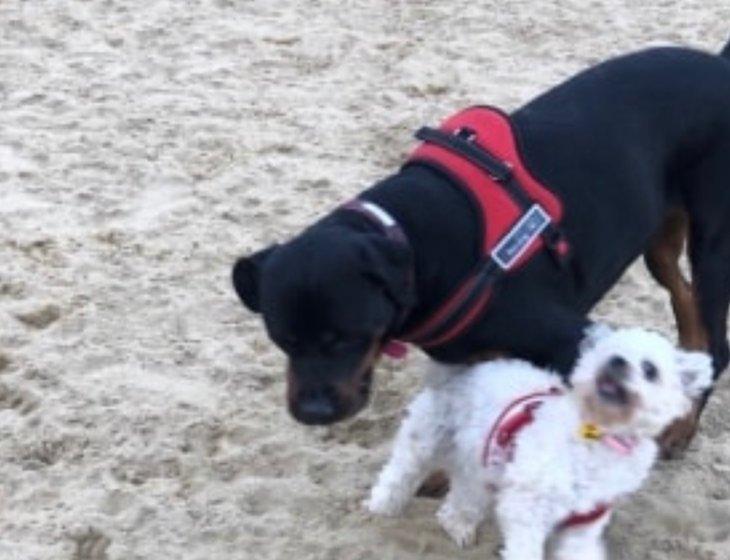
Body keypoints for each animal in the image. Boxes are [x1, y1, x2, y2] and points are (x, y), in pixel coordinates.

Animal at [232, 43, 728, 456]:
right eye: (282, 339)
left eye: (349, 337)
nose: (313, 412)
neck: (415, 241)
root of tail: (718, 65)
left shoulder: (572, 340)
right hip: (659, 238)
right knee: (684, 300)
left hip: (712, 242)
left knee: (717, 345)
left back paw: (680, 427)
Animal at [366, 328, 708, 560]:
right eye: (606, 353)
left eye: (650, 369)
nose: (616, 361)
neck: (596, 437)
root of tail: (465, 370)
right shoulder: (525, 508)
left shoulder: (581, 525)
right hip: (426, 439)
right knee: (399, 473)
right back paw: (380, 508)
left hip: (481, 468)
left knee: (459, 501)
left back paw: (459, 525)